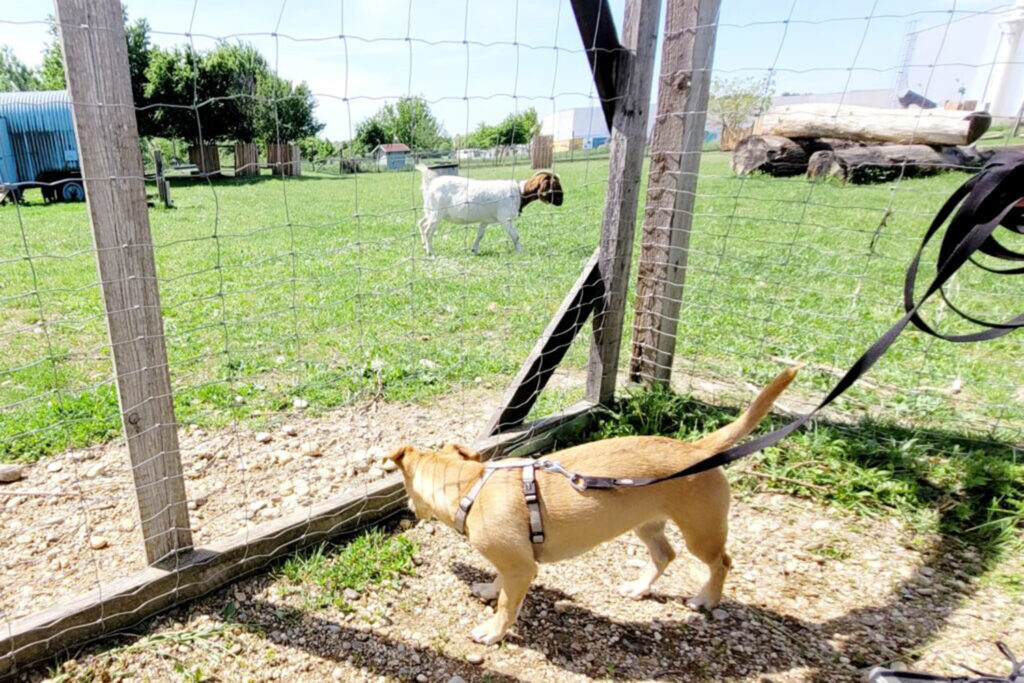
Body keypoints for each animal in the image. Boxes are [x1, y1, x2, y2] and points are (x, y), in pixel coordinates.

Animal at [387, 366, 794, 643]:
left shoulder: (522, 566)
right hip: (647, 524)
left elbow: (507, 603)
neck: (472, 486)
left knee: (721, 562)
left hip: (702, 531)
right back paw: (639, 588)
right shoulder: (514, 559)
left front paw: (493, 630)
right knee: (665, 555)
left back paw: (706, 599)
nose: (409, 512)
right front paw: (489, 590)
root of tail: (697, 450)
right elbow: (499, 580)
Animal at [413, 165, 565, 255]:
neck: (519, 192)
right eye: (555, 185)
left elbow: (480, 235)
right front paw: (521, 251)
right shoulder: (505, 218)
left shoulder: (485, 221)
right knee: (428, 230)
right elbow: (515, 236)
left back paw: (423, 245)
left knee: (421, 223)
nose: (561, 201)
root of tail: (429, 184)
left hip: (430, 210)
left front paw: (475, 250)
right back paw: (430, 252)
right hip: (437, 212)